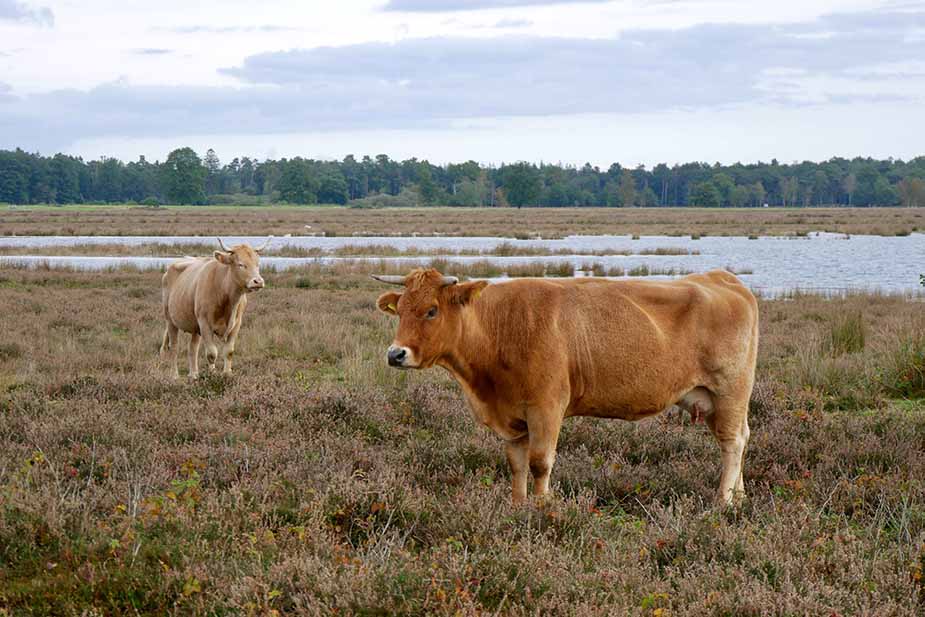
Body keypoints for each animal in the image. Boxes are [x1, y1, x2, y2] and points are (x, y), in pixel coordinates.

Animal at [160, 238, 270, 378]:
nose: (258, 281)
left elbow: (229, 351)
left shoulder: (237, 324)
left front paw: (227, 374)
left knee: (193, 348)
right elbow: (212, 353)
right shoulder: (204, 323)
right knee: (174, 346)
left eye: (257, 264)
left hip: (195, 326)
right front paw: (212, 375)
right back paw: (174, 375)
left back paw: (193, 375)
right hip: (170, 320)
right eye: (240, 264)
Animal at [376, 268, 756, 506]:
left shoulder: (547, 407)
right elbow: (516, 464)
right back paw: (740, 498)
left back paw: (723, 502)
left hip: (730, 390)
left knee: (732, 442)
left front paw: (544, 507)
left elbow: (540, 463)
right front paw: (518, 506)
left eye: (431, 311)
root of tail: (722, 279)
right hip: (711, 400)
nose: (396, 354)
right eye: (401, 310)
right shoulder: (511, 418)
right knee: (740, 438)